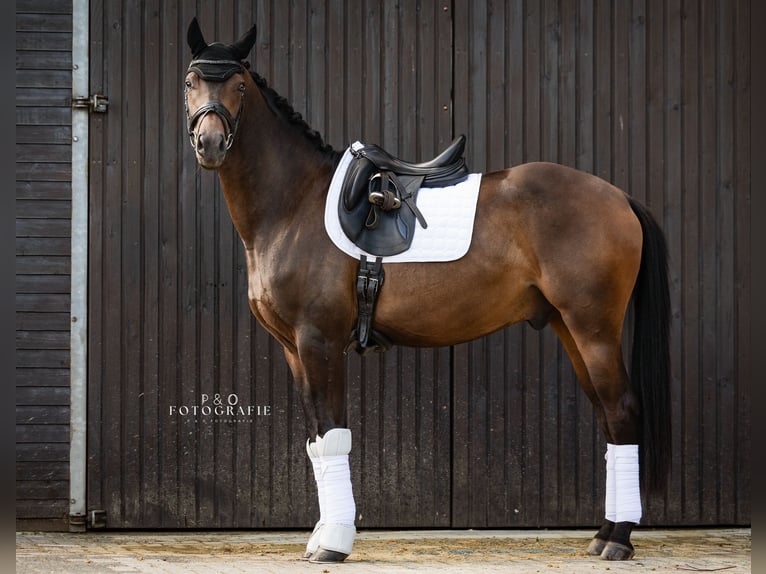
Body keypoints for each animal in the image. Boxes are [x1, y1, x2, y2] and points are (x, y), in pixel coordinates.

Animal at [184, 19, 672, 568]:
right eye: (190, 82)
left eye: (239, 85)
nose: (209, 143)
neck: (293, 204)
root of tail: (618, 197)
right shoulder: (294, 349)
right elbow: (316, 441)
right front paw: (320, 538)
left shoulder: (318, 342)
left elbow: (331, 436)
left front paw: (332, 543)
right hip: (571, 329)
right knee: (608, 417)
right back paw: (605, 532)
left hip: (594, 329)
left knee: (622, 411)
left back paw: (619, 539)